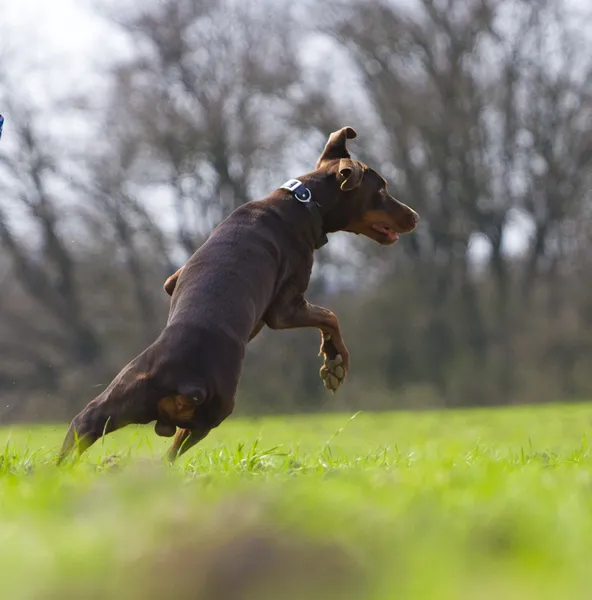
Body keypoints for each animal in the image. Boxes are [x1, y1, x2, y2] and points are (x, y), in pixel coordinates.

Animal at [57, 127, 418, 464]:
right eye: (382, 189)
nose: (414, 216)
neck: (304, 201)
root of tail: (183, 379)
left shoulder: (172, 281)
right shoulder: (286, 308)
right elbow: (331, 317)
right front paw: (335, 362)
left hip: (121, 402)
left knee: (89, 427)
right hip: (215, 409)